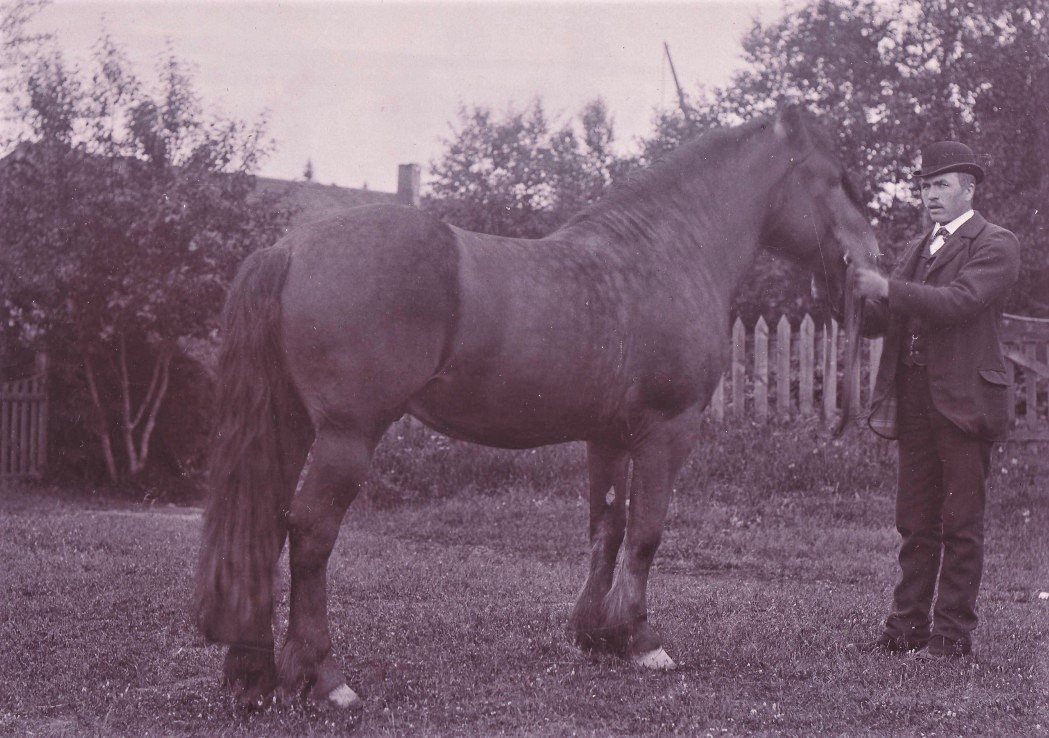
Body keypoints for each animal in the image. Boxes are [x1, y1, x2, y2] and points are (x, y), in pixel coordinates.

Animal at [195, 105, 876, 708]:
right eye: (834, 176)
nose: (870, 266)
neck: (667, 253)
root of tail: (289, 249)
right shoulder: (668, 429)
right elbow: (647, 531)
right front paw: (641, 639)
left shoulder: (608, 436)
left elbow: (608, 526)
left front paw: (596, 635)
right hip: (346, 437)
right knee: (309, 532)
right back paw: (325, 678)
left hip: (290, 427)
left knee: (264, 523)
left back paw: (252, 674)